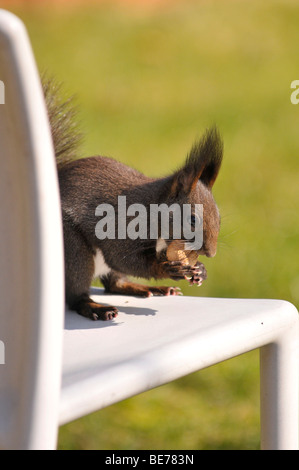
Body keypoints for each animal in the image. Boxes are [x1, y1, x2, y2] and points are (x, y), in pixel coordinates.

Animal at [43, 78, 224, 320]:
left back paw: (149, 288)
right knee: (76, 295)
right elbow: (125, 259)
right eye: (192, 219)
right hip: (73, 250)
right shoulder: (119, 228)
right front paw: (167, 268)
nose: (212, 254)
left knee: (114, 283)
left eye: (219, 218)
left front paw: (200, 271)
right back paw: (95, 307)